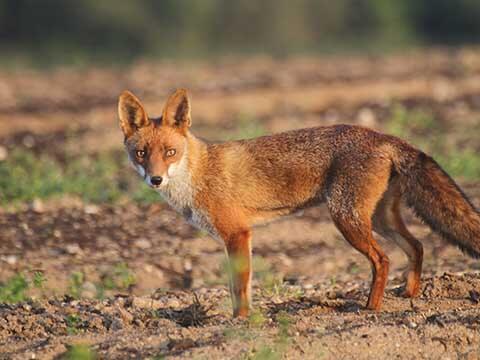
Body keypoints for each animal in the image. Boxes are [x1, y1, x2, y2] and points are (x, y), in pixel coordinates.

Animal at [118, 88, 480, 316]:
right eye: (142, 154)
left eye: (170, 152)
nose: (155, 180)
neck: (198, 172)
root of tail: (384, 135)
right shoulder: (235, 237)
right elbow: (236, 287)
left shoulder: (237, 234)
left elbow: (240, 287)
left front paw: (240, 321)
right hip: (379, 219)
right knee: (417, 246)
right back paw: (408, 294)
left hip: (347, 218)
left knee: (383, 260)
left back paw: (370, 308)